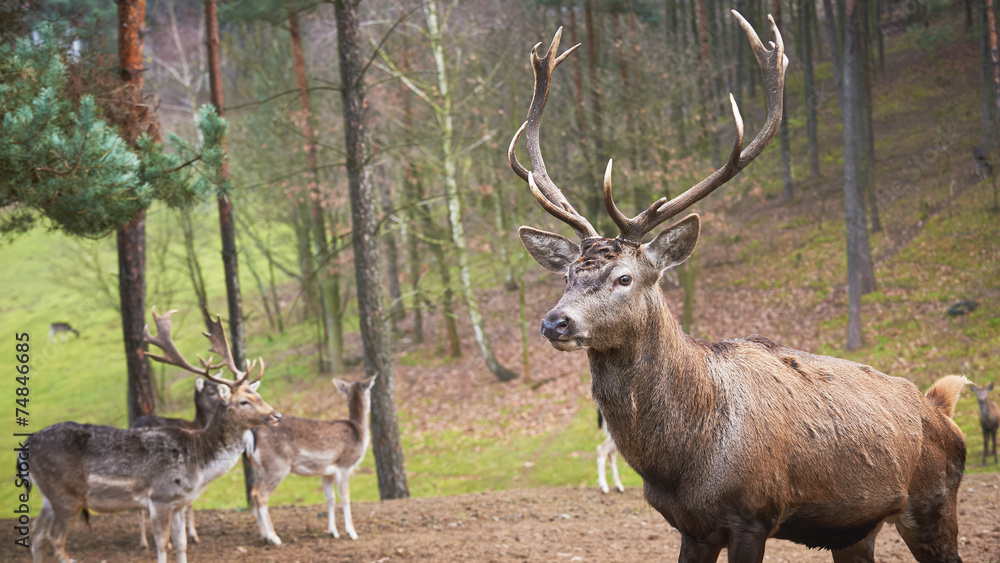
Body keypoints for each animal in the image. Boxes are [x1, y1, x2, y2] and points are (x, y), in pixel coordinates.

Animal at [249, 376, 376, 545]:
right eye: (370, 390)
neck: (359, 432)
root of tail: (253, 433)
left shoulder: (326, 472)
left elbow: (330, 498)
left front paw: (333, 532)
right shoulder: (344, 466)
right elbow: (346, 498)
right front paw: (352, 533)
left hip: (258, 467)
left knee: (253, 492)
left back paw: (263, 535)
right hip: (277, 465)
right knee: (261, 495)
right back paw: (274, 538)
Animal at [508, 13, 968, 563]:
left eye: (624, 277)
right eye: (568, 274)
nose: (555, 322)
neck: (684, 460)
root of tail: (941, 409)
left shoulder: (753, 514)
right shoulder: (690, 527)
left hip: (934, 502)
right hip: (856, 528)